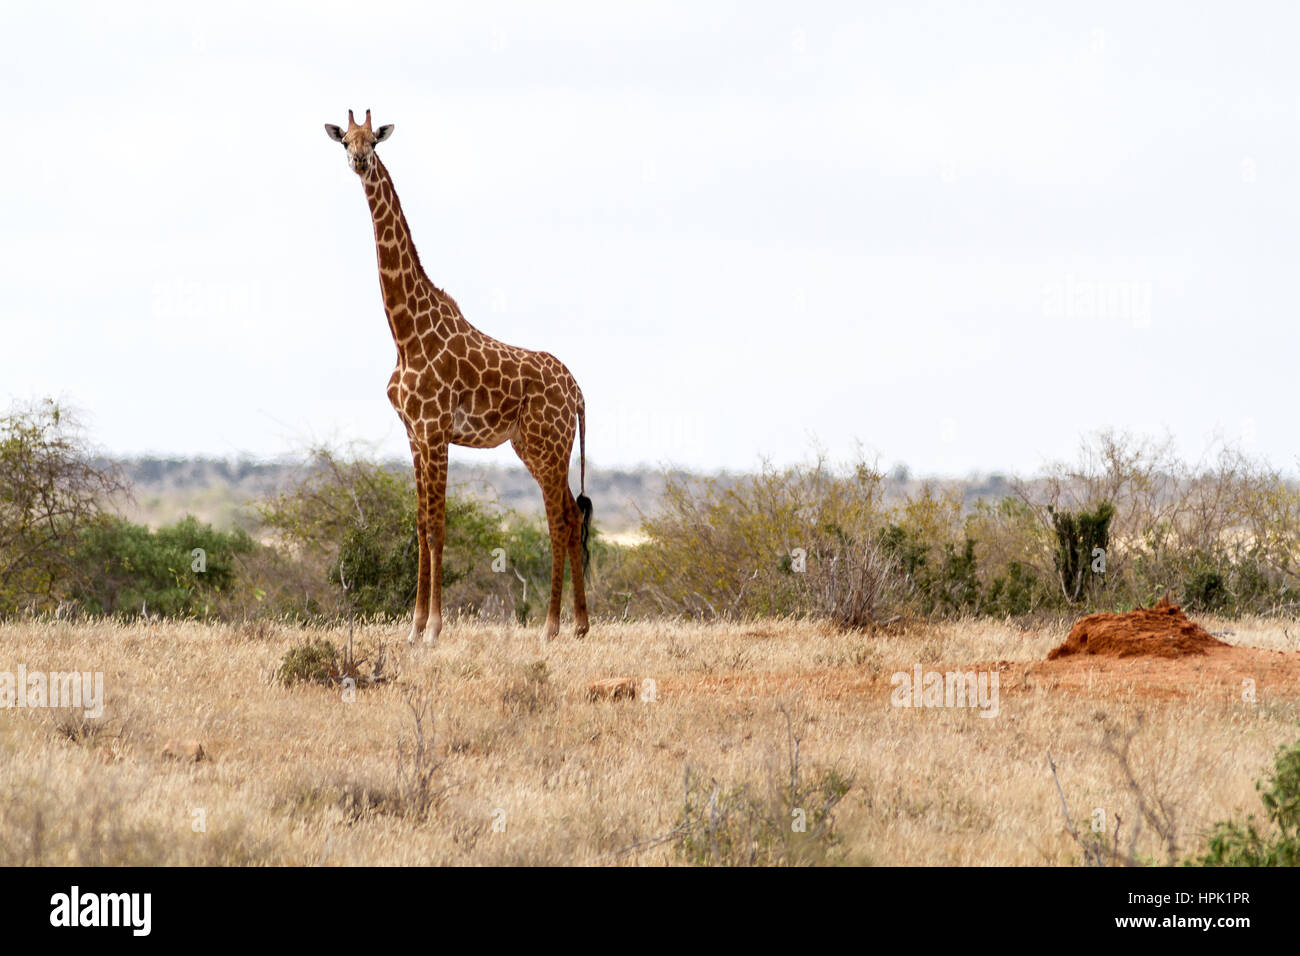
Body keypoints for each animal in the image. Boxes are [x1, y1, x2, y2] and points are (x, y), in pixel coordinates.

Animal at [325, 109, 592, 644]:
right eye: (345, 140)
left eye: (373, 141)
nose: (359, 161)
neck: (405, 334)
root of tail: (578, 392)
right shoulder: (413, 433)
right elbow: (420, 525)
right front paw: (413, 628)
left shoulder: (435, 430)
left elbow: (438, 525)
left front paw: (434, 628)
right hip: (534, 445)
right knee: (572, 516)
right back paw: (578, 625)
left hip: (547, 445)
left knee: (560, 519)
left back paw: (552, 626)